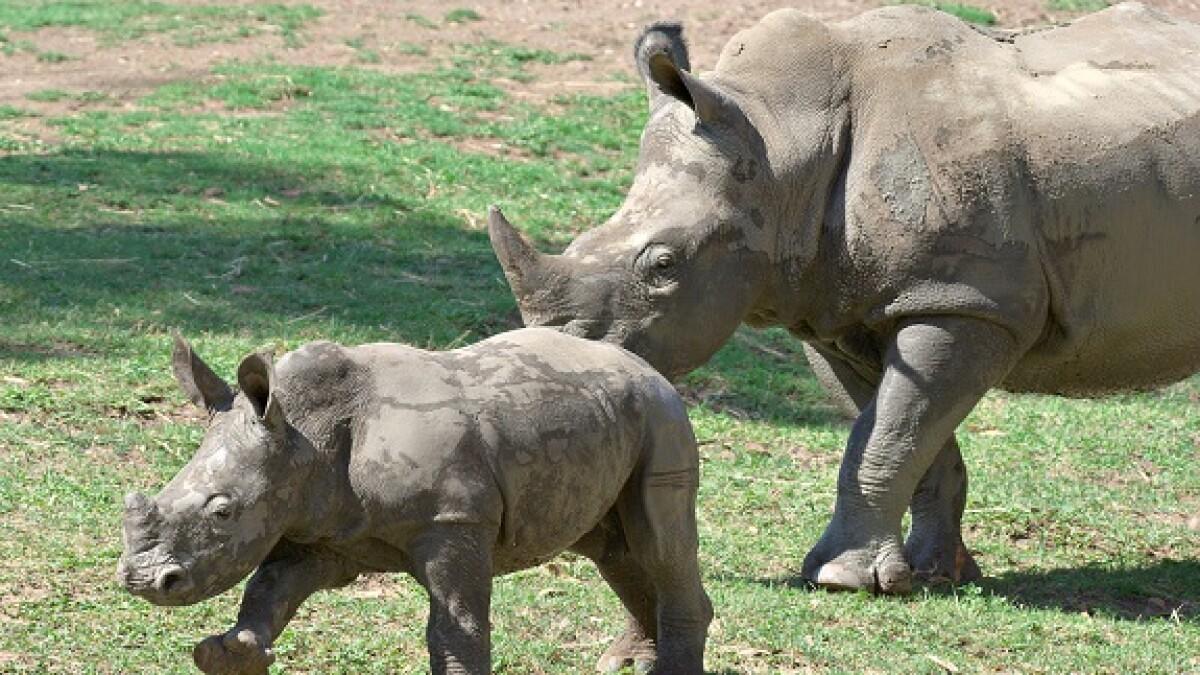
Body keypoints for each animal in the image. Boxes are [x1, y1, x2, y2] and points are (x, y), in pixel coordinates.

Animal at [117, 324, 705, 667]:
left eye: (223, 512)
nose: (143, 581)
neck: (305, 434)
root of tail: (645, 366)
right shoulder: (322, 527)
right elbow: (269, 589)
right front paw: (230, 653)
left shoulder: (454, 519)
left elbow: (455, 629)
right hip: (610, 417)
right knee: (614, 552)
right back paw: (631, 663)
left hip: (661, 415)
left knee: (658, 544)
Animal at [484, 3, 1200, 593]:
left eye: (662, 265)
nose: (563, 374)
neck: (781, 141)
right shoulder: (837, 306)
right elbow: (905, 429)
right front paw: (934, 576)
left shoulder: (965, 299)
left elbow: (888, 430)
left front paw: (840, 579)